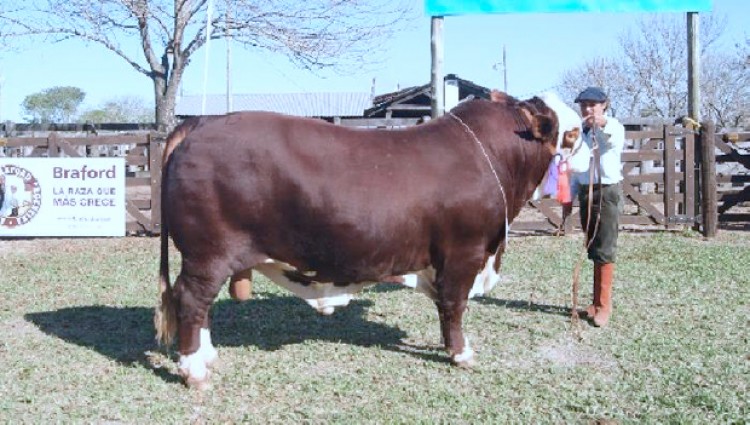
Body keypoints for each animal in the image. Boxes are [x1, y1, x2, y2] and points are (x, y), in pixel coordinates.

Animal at [155, 90, 565, 389]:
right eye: (566, 129)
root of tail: (203, 123)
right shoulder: (465, 252)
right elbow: (453, 306)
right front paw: (461, 354)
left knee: (200, 305)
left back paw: (207, 355)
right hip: (208, 255)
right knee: (191, 300)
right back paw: (194, 370)